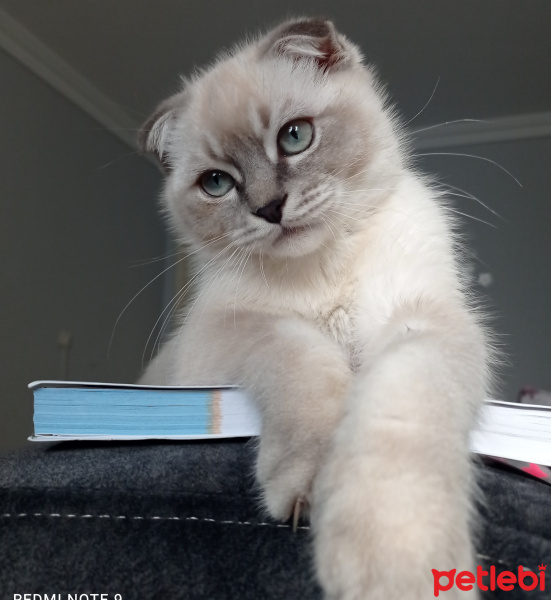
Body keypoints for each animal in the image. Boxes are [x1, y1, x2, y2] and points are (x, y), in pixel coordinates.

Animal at [139, 17, 492, 600]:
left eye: (294, 136)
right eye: (216, 183)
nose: (269, 209)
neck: (325, 267)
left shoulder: (421, 317)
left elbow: (395, 409)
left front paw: (394, 562)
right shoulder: (230, 332)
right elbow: (303, 359)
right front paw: (309, 492)